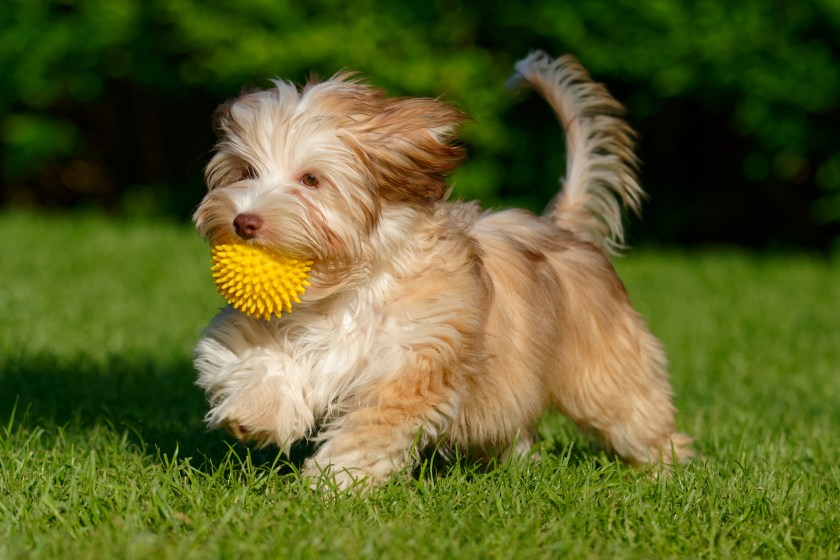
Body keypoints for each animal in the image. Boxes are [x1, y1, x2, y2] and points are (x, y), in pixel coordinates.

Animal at [194, 52, 692, 490]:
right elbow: (252, 356)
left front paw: (336, 482)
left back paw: (666, 470)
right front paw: (255, 411)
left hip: (604, 367)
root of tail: (562, 227)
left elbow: (372, 426)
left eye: (311, 180)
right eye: (246, 171)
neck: (346, 287)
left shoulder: (414, 358)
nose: (244, 221)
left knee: (633, 413)